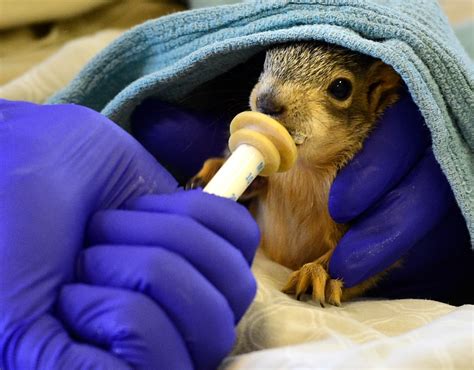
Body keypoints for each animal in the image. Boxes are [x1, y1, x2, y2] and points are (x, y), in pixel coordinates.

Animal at [188, 42, 400, 304]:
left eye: (341, 88)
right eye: (267, 58)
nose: (266, 102)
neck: (300, 168)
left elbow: (361, 262)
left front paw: (318, 273)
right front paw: (220, 169)